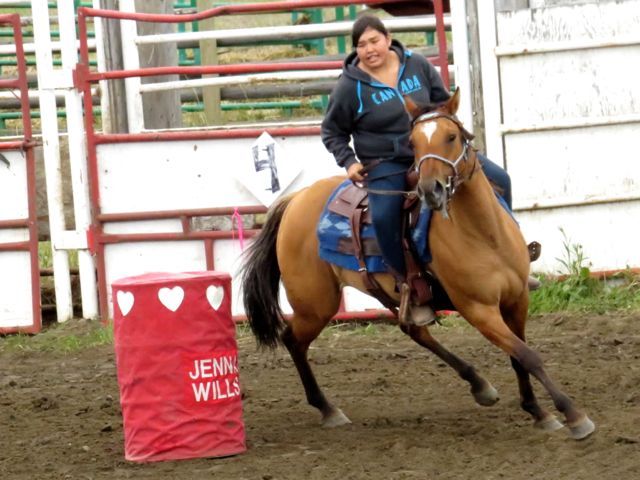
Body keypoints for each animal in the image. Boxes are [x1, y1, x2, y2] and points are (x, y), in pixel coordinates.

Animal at [240, 89, 596, 438]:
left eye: (451, 136)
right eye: (413, 142)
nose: (430, 189)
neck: (485, 235)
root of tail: (294, 201)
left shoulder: (516, 298)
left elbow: (519, 356)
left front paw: (538, 412)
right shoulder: (479, 310)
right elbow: (527, 355)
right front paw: (573, 415)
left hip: (387, 292)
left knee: (413, 329)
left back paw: (479, 384)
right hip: (315, 305)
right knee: (293, 340)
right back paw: (328, 409)